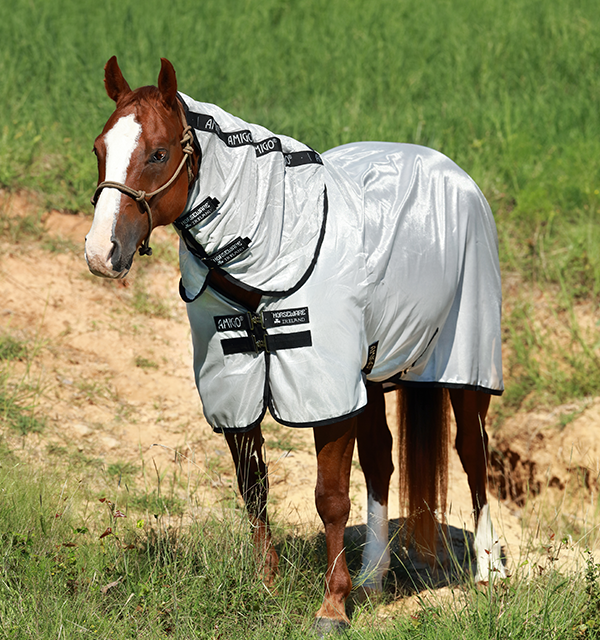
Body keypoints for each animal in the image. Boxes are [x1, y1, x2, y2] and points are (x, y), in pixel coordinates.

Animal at [85, 56, 506, 634]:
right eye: (99, 148)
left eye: (158, 153)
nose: (101, 252)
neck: (272, 248)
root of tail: (454, 172)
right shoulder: (235, 388)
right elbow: (254, 489)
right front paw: (268, 583)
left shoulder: (326, 393)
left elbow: (330, 499)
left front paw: (332, 607)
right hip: (371, 377)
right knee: (382, 462)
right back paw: (373, 577)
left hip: (467, 367)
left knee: (472, 456)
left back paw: (489, 572)